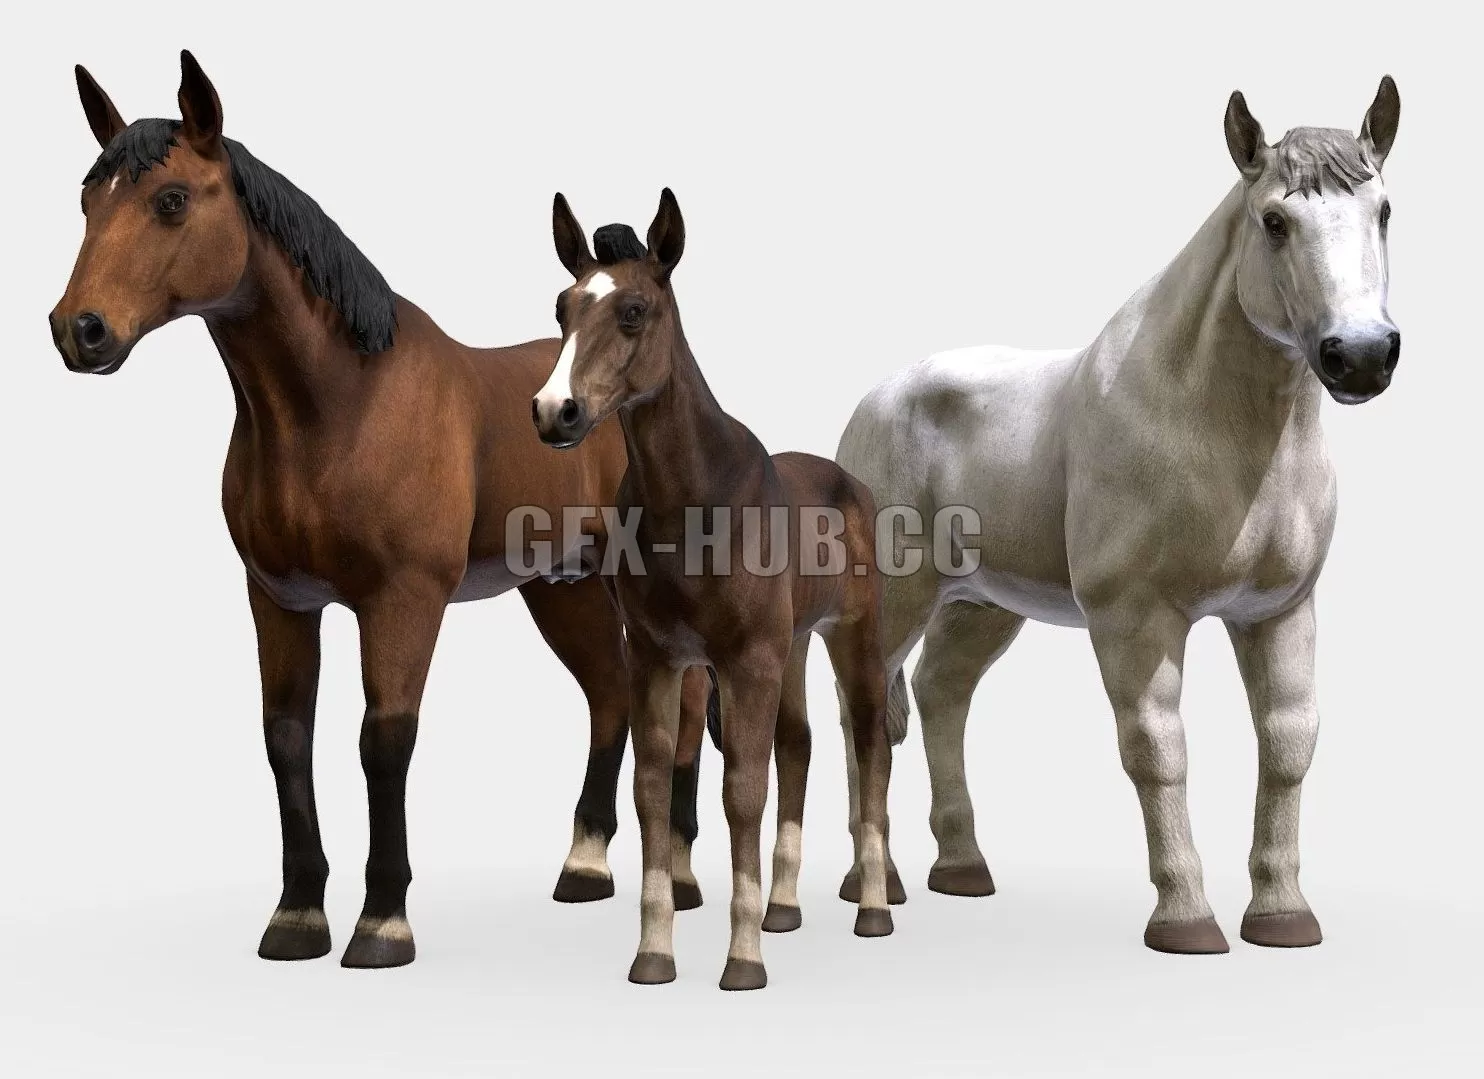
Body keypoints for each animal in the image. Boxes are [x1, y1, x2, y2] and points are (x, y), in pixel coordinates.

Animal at [48, 50, 714, 969]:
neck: (340, 408)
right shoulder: (279, 599)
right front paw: (297, 915)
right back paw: (584, 864)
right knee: (610, 694)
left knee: (680, 705)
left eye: (172, 199)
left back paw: (676, 876)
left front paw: (382, 921)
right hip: (563, 587)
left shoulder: (403, 600)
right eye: (88, 200)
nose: (78, 330)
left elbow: (384, 739)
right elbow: (286, 737)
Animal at [531, 191, 896, 990]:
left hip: (850, 637)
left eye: (634, 311)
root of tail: (850, 482)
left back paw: (874, 910)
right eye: (562, 307)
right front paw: (653, 955)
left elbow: (741, 792)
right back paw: (784, 907)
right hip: (793, 646)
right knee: (800, 744)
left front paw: (743, 961)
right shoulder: (658, 658)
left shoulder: (745, 660)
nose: (553, 412)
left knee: (869, 746)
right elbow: (652, 788)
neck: (694, 504)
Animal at [835, 76, 1402, 954]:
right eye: (1275, 221)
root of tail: (877, 399)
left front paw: (1282, 914)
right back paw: (875, 883)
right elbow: (1157, 748)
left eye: (1384, 211)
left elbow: (1287, 742)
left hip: (981, 605)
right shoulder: (1136, 618)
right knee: (864, 707)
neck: (1210, 426)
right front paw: (1185, 917)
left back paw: (960, 868)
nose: (1363, 355)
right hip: (899, 599)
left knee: (940, 693)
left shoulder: (1278, 611)